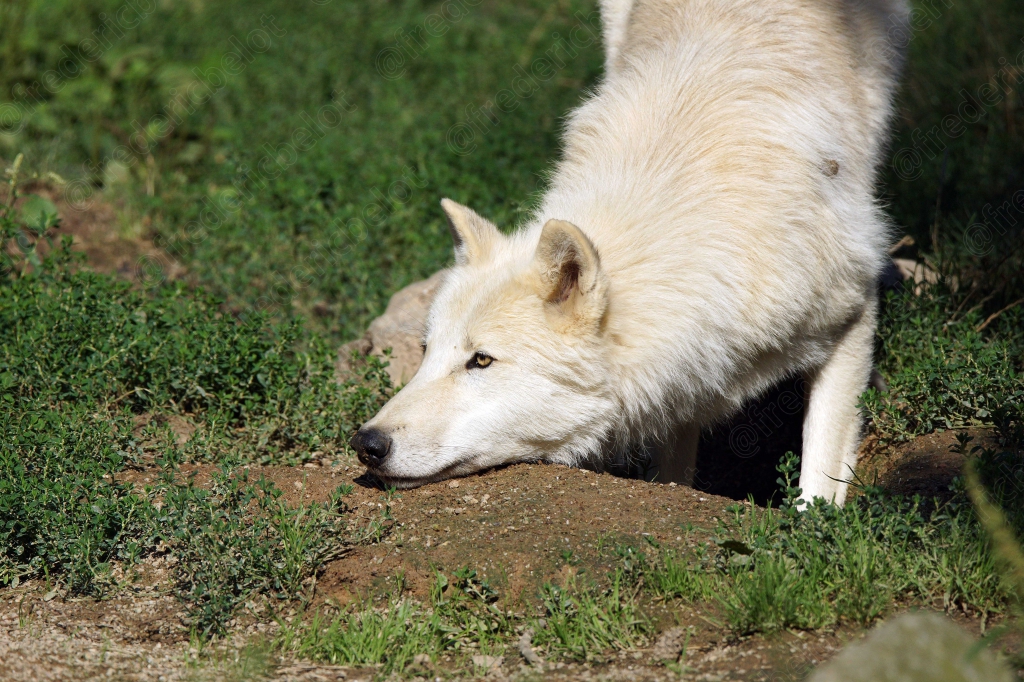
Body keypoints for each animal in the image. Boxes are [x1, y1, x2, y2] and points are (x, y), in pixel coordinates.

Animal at [350, 0, 910, 505]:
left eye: (481, 360)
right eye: (427, 350)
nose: (366, 444)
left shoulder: (851, 310)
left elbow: (821, 460)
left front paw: (814, 525)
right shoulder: (686, 373)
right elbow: (673, 464)